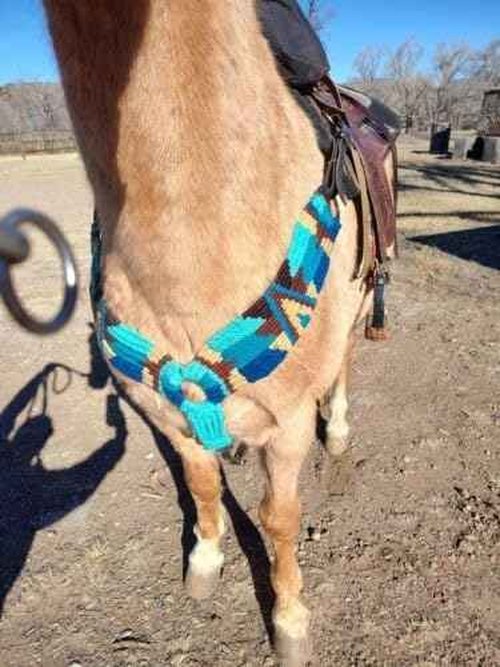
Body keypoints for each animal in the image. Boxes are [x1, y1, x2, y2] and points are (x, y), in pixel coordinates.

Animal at [43, 2, 396, 664]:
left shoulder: (286, 425)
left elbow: (279, 517)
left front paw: (289, 623)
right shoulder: (163, 409)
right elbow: (203, 482)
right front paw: (204, 561)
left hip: (361, 293)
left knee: (344, 361)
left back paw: (338, 429)